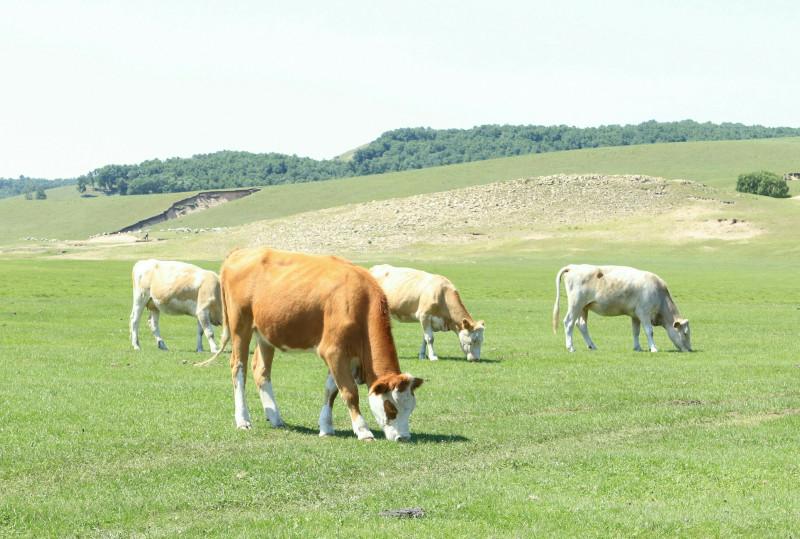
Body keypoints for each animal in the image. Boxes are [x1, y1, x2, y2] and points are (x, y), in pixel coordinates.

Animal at [195, 249, 424, 442]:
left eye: (411, 408)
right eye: (391, 408)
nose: (403, 437)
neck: (361, 302)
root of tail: (240, 252)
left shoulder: (345, 356)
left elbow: (331, 390)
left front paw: (326, 427)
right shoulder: (334, 351)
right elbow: (349, 391)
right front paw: (363, 430)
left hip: (265, 333)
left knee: (261, 371)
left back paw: (275, 418)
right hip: (240, 326)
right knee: (238, 368)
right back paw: (243, 419)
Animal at [552, 266, 692, 354]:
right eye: (685, 333)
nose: (690, 349)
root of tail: (573, 267)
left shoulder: (635, 315)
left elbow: (636, 332)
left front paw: (637, 347)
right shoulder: (644, 313)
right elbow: (649, 331)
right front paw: (653, 348)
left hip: (583, 307)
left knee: (581, 325)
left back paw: (592, 346)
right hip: (575, 304)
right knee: (569, 323)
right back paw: (570, 347)